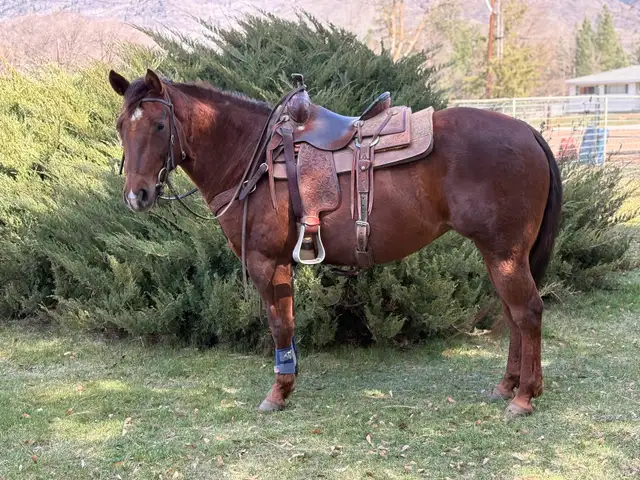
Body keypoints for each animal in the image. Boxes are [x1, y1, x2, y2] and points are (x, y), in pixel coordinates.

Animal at [108, 68, 562, 417]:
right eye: (120, 126)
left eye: (159, 125)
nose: (136, 196)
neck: (253, 158)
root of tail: (530, 133)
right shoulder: (281, 263)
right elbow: (287, 322)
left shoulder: (266, 261)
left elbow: (280, 325)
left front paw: (278, 392)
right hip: (501, 255)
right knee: (513, 315)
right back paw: (507, 386)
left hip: (504, 254)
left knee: (527, 313)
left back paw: (524, 397)